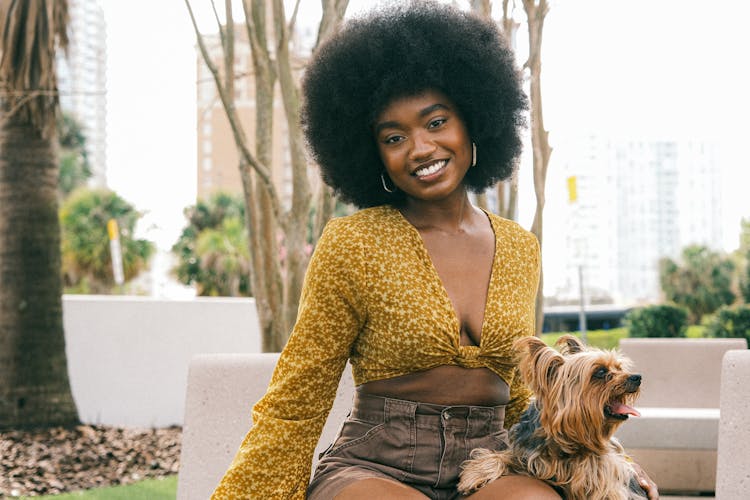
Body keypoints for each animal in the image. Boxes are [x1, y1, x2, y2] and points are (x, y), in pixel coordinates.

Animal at [462, 336, 648, 500]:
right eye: (601, 371)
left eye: (619, 368)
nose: (637, 377)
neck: (568, 437)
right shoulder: (529, 456)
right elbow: (501, 456)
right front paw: (474, 475)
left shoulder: (602, 472)